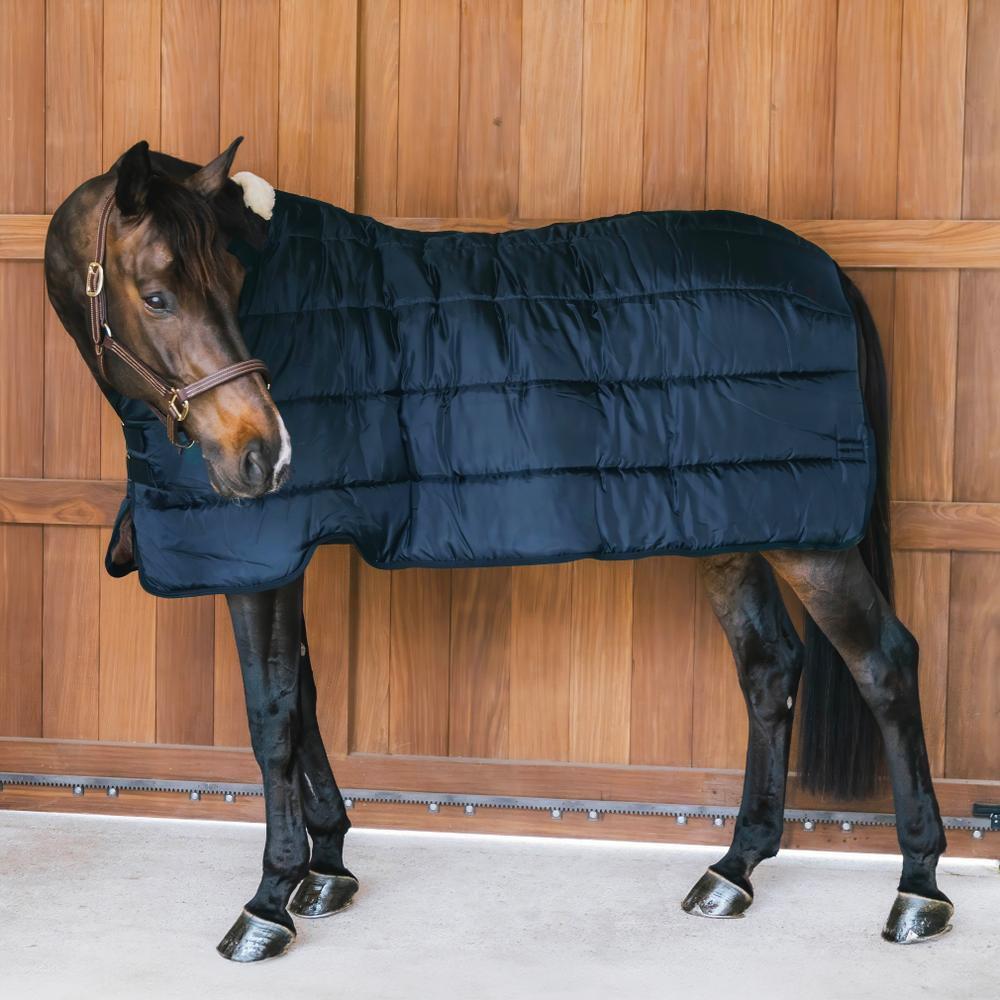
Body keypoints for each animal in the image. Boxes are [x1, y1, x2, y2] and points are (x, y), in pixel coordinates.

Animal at [42, 138, 952, 962]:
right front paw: (328, 868)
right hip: (732, 524)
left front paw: (269, 901)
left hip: (808, 542)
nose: (266, 456)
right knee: (768, 668)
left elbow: (271, 718)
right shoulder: (282, 555)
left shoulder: (261, 554)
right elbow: (304, 701)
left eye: (232, 283)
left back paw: (919, 891)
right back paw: (734, 871)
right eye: (157, 295)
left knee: (883, 662)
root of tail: (825, 269)